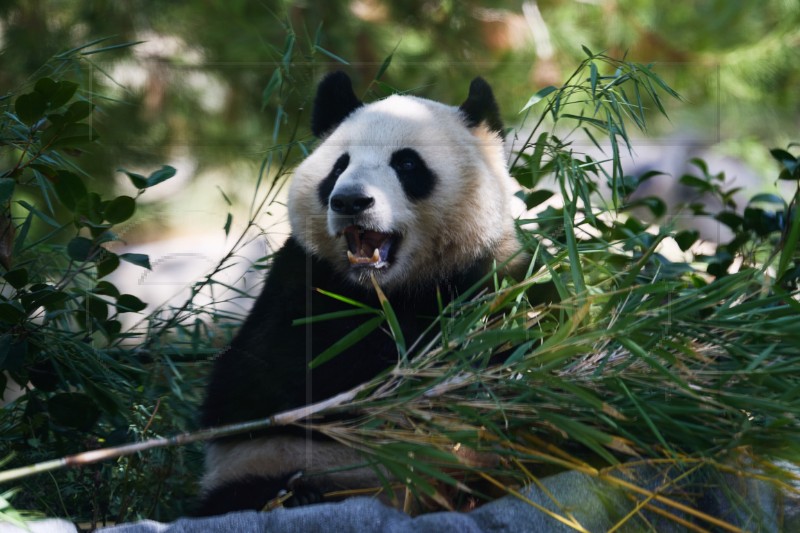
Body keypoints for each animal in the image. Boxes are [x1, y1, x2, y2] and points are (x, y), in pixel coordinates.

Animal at [198, 70, 524, 516]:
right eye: (340, 166)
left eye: (406, 163)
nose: (350, 201)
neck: (386, 290)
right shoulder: (300, 285)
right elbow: (260, 381)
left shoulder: (491, 278)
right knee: (240, 495)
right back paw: (297, 496)